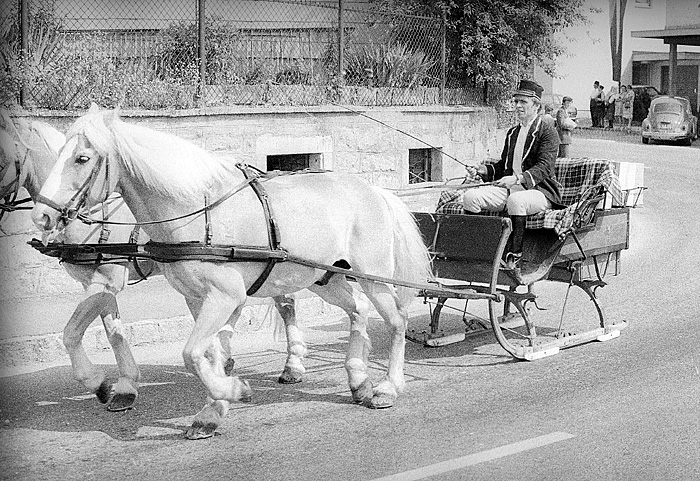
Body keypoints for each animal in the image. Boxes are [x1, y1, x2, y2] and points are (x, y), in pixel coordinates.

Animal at [0, 112, 308, 412]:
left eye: (82, 159)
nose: (41, 217)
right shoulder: (99, 283)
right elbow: (114, 333)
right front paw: (125, 386)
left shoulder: (107, 278)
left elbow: (72, 333)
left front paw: (98, 382)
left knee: (285, 304)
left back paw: (292, 365)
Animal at [34, 105, 438, 438]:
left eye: (82, 158)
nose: (42, 215)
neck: (195, 211)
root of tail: (374, 190)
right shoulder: (198, 299)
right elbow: (208, 353)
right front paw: (212, 410)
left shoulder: (223, 296)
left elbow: (192, 353)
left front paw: (231, 391)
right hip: (323, 278)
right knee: (357, 311)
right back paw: (357, 378)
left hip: (374, 276)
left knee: (397, 321)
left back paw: (387, 386)